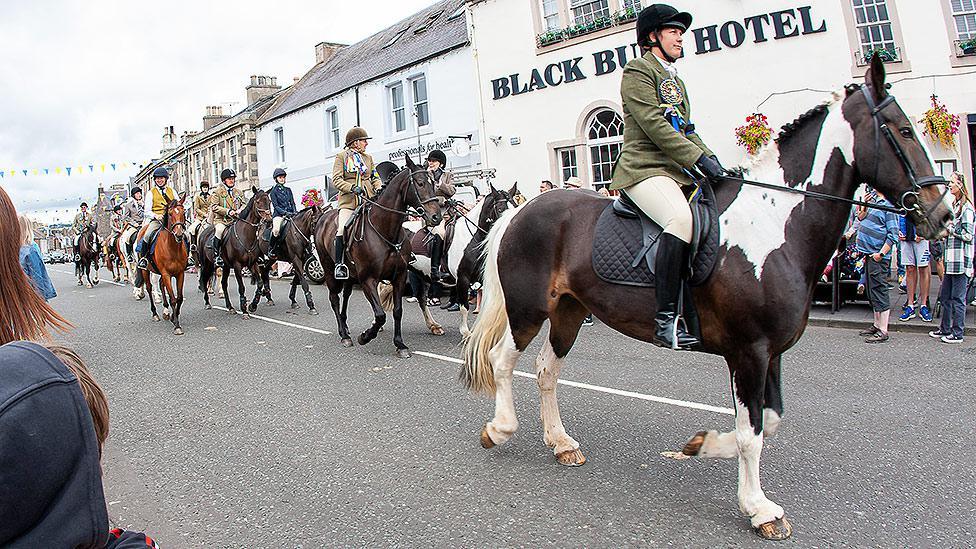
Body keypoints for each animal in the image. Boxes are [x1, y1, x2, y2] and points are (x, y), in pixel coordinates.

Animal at [134, 196, 190, 334]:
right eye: (170, 214)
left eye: (183, 213)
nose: (179, 234)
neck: (173, 248)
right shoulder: (166, 274)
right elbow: (173, 299)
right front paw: (177, 325)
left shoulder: (180, 274)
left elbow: (179, 298)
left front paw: (173, 317)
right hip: (146, 270)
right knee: (149, 288)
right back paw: (155, 314)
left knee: (160, 285)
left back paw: (165, 312)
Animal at [197, 187, 274, 318]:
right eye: (258, 202)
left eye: (269, 201)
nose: (269, 220)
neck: (246, 235)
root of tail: (204, 232)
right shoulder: (237, 266)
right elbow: (241, 287)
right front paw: (244, 309)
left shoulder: (253, 264)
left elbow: (259, 284)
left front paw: (253, 305)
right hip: (207, 264)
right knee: (205, 279)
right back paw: (207, 303)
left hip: (226, 266)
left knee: (223, 284)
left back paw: (230, 307)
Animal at [316, 154, 442, 360]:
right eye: (420, 183)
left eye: (434, 183)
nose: (436, 217)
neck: (384, 230)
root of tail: (322, 217)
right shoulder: (368, 279)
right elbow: (380, 315)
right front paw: (365, 336)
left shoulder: (399, 277)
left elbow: (397, 311)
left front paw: (400, 344)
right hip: (329, 270)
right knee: (334, 299)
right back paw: (344, 335)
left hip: (350, 275)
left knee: (346, 297)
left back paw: (346, 327)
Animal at [458, 56, 952, 540]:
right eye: (903, 130)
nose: (943, 214)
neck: (774, 225)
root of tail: (519, 210)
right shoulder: (749, 351)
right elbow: (752, 431)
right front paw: (759, 509)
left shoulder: (770, 352)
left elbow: (768, 419)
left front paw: (701, 445)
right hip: (529, 310)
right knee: (503, 361)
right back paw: (498, 430)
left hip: (569, 312)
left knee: (546, 370)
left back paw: (561, 443)